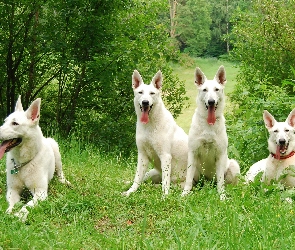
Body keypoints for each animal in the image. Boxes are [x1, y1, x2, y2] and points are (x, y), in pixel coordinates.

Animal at [183, 66, 240, 199]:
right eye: (204, 90)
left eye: (216, 89)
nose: (211, 101)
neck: (208, 126)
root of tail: (208, 182)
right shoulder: (192, 153)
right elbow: (188, 179)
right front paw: (184, 194)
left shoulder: (220, 155)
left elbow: (220, 182)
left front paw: (222, 197)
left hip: (234, 165)